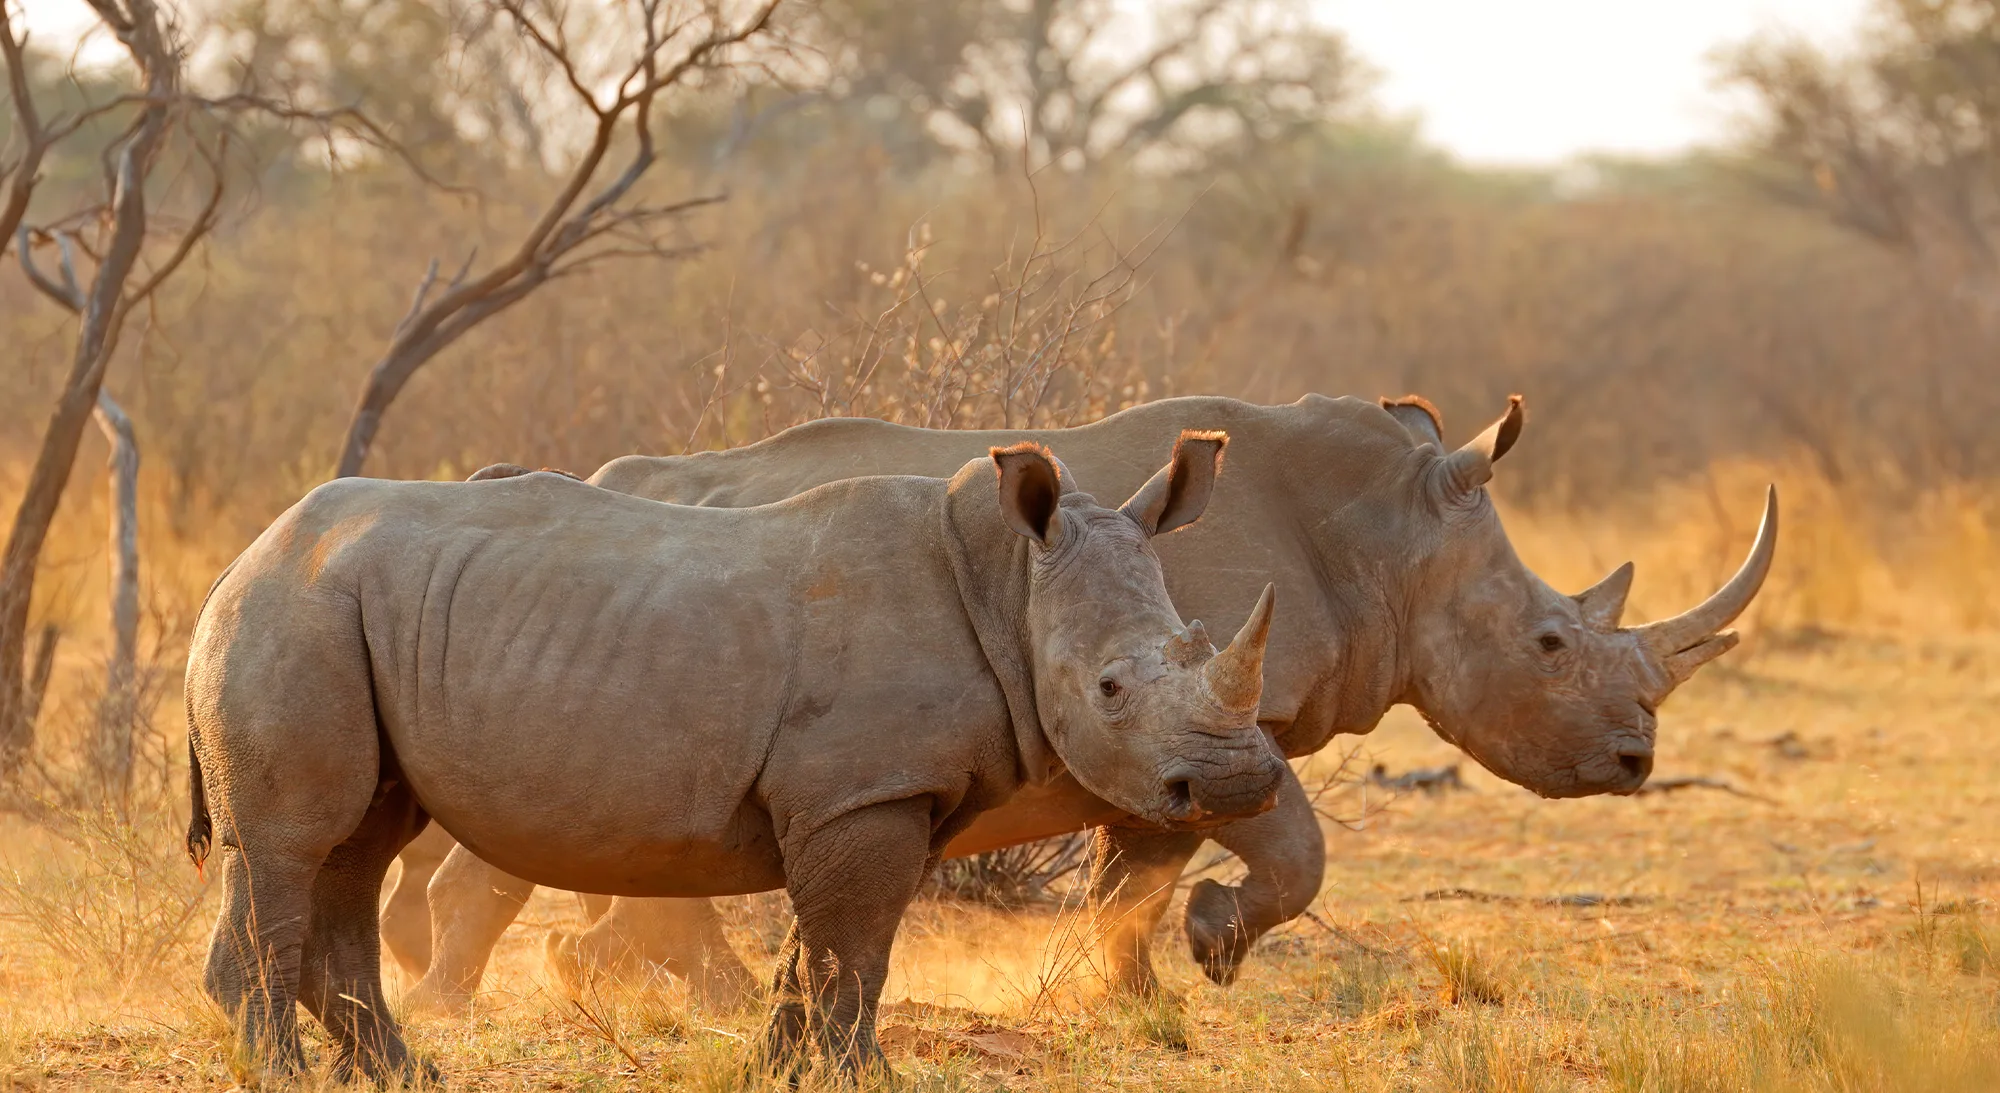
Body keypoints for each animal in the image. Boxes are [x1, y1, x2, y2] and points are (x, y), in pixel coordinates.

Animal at [183, 433, 1288, 1081]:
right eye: (1108, 690)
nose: (1237, 781)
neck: (1009, 582)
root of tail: (242, 556)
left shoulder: (872, 796)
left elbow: (821, 951)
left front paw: (781, 1072)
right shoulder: (863, 794)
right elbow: (854, 951)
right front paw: (863, 1079)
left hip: (339, 613)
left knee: (357, 843)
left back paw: (402, 1074)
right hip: (294, 614)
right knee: (292, 844)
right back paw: (284, 1073)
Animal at [387, 393, 1778, 1013]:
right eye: (1549, 642)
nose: (1634, 757)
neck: (1386, 535)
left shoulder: (1179, 731)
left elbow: (1134, 871)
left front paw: (1127, 989)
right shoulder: (1230, 720)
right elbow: (1283, 850)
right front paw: (1207, 952)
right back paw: (473, 999)